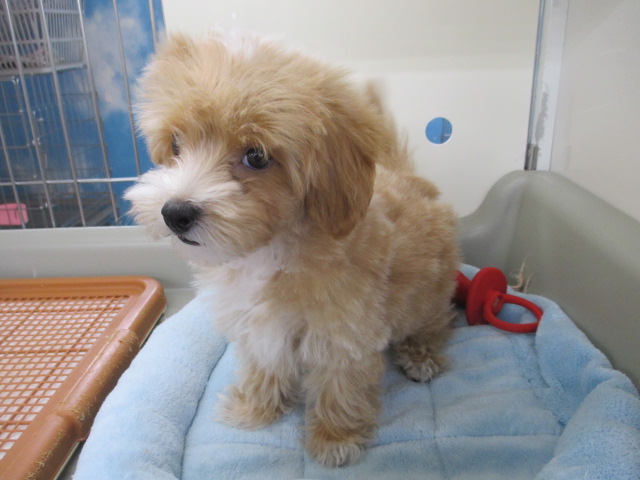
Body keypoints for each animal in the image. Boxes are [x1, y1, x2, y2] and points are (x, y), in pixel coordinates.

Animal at [125, 31, 460, 467]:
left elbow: (340, 384)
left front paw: (335, 438)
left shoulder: (342, 332)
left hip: (427, 296)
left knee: (438, 320)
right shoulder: (256, 325)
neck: (268, 250)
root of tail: (409, 178)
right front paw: (254, 408)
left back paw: (421, 355)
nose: (175, 212)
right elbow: (263, 366)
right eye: (176, 144)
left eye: (256, 156)